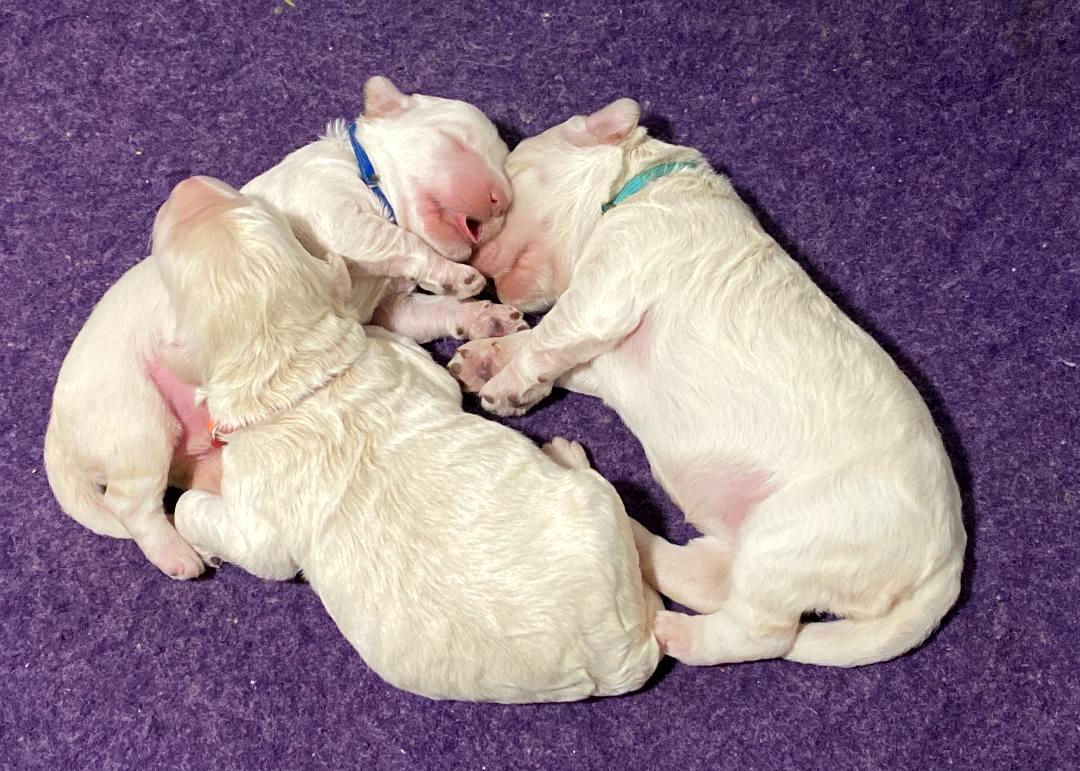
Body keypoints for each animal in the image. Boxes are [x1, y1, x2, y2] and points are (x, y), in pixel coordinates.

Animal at [44, 78, 522, 578]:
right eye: (455, 141)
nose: (501, 202)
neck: (368, 177)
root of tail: (56, 434)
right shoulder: (336, 210)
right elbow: (399, 242)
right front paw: (457, 274)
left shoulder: (391, 308)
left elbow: (432, 309)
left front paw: (484, 316)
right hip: (137, 423)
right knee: (129, 504)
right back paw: (178, 555)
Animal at [153, 175, 660, 702]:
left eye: (166, 261)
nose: (189, 184)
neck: (293, 372)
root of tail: (616, 658)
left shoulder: (258, 517)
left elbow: (214, 523)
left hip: (598, 509)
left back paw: (565, 452)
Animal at [449, 98, 966, 667]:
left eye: (511, 183)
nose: (471, 262)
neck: (637, 185)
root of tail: (947, 566)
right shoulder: (599, 356)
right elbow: (545, 345)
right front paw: (485, 359)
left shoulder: (613, 279)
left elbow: (552, 332)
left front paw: (503, 385)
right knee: (705, 580)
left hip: (793, 534)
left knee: (759, 633)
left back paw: (672, 629)